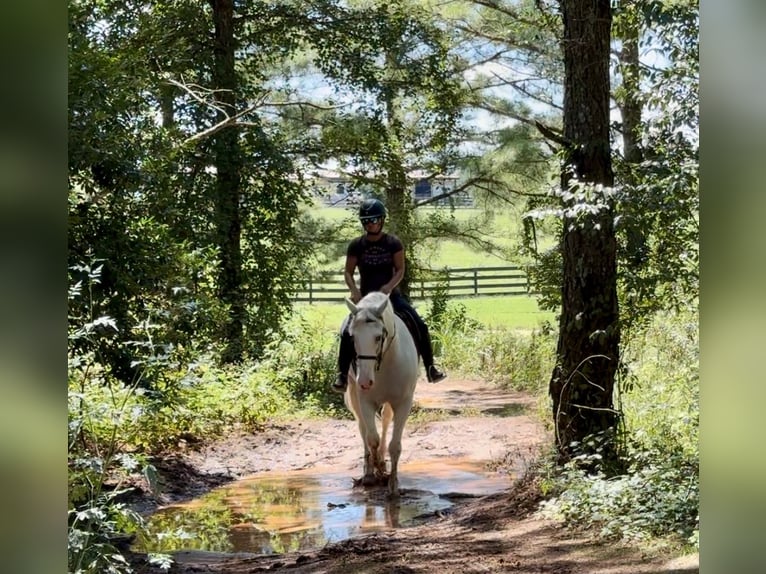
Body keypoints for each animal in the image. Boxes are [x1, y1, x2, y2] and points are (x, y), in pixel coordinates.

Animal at [343, 291, 419, 497]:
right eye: (352, 338)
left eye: (378, 337)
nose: (364, 381)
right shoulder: (365, 401)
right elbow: (372, 439)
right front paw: (375, 468)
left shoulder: (403, 403)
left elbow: (395, 446)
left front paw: (393, 485)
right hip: (354, 394)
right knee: (363, 428)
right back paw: (369, 470)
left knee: (385, 420)